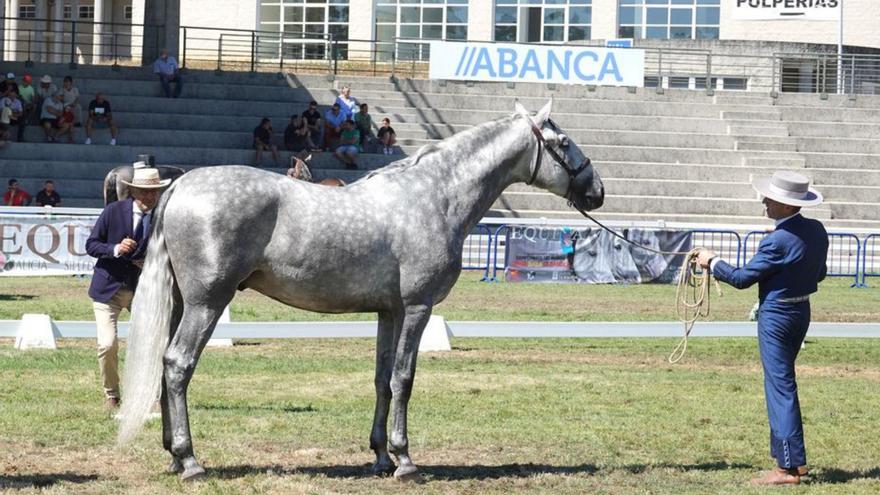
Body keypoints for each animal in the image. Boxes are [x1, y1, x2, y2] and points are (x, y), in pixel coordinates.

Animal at [118, 100, 604, 480]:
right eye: (563, 143)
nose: (597, 191)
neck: (435, 196)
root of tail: (181, 184)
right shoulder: (417, 308)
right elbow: (405, 378)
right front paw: (406, 460)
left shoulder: (389, 312)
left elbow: (382, 380)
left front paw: (381, 457)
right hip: (208, 302)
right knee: (179, 364)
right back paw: (190, 460)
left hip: (183, 303)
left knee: (165, 363)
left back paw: (173, 456)